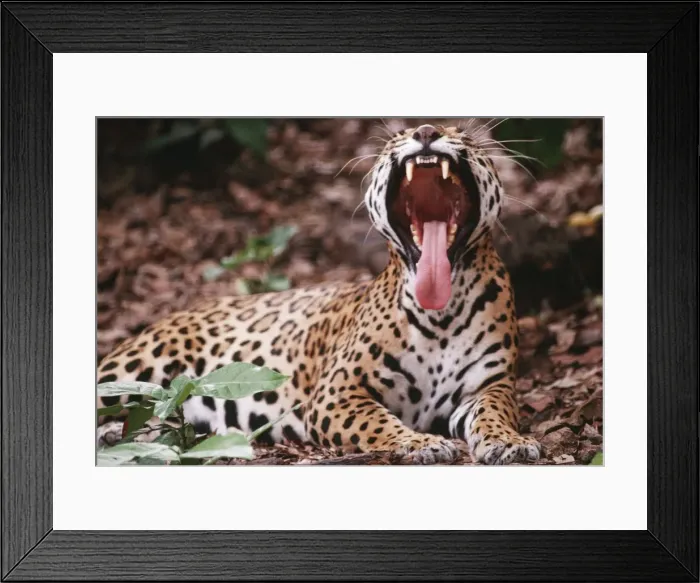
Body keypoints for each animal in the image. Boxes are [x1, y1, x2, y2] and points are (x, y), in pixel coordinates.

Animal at [97, 122, 541, 465]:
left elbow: (496, 412)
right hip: (131, 370)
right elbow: (378, 422)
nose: (427, 131)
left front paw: (509, 441)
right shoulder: (337, 392)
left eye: (461, 133)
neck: (440, 314)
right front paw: (420, 442)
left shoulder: (491, 385)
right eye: (398, 136)